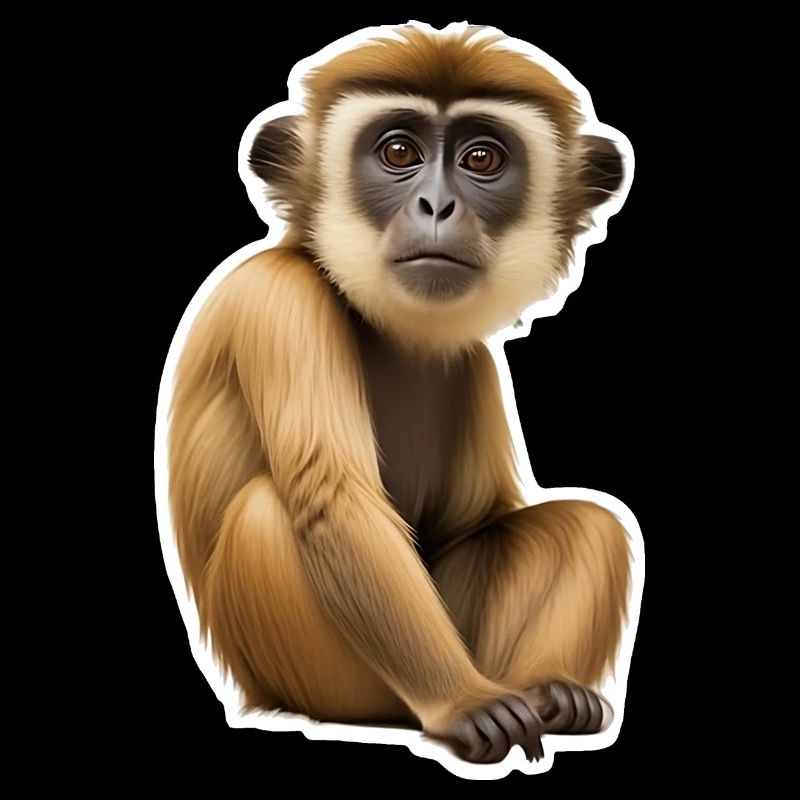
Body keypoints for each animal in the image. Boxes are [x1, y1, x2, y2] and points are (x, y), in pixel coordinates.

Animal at [165, 24, 634, 767]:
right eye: (398, 154)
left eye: (481, 158)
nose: (437, 206)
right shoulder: (276, 298)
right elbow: (334, 503)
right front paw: (464, 704)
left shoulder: (474, 363)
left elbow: (484, 526)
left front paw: (550, 691)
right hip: (331, 681)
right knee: (272, 509)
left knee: (587, 524)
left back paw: (549, 689)